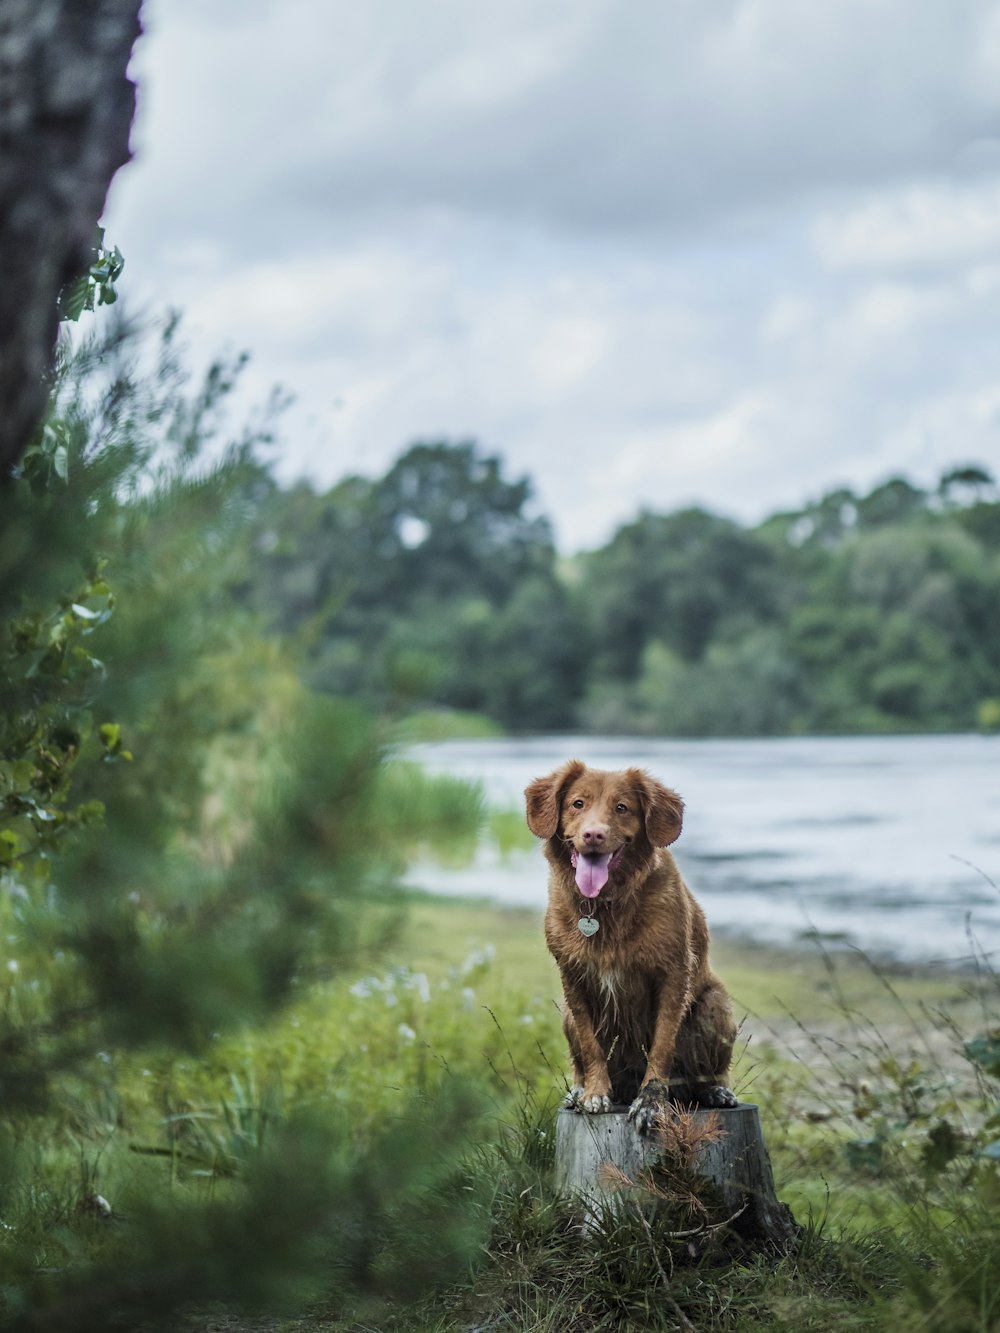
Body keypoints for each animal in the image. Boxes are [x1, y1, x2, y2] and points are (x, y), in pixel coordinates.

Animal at [528, 762, 741, 1135]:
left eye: (622, 808)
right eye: (577, 803)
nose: (593, 835)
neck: (605, 905)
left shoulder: (673, 973)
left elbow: (661, 1046)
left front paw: (650, 1103)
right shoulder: (573, 977)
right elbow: (591, 1045)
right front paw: (595, 1093)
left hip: (715, 1005)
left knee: (706, 1075)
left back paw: (715, 1091)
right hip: (566, 1015)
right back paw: (580, 1089)